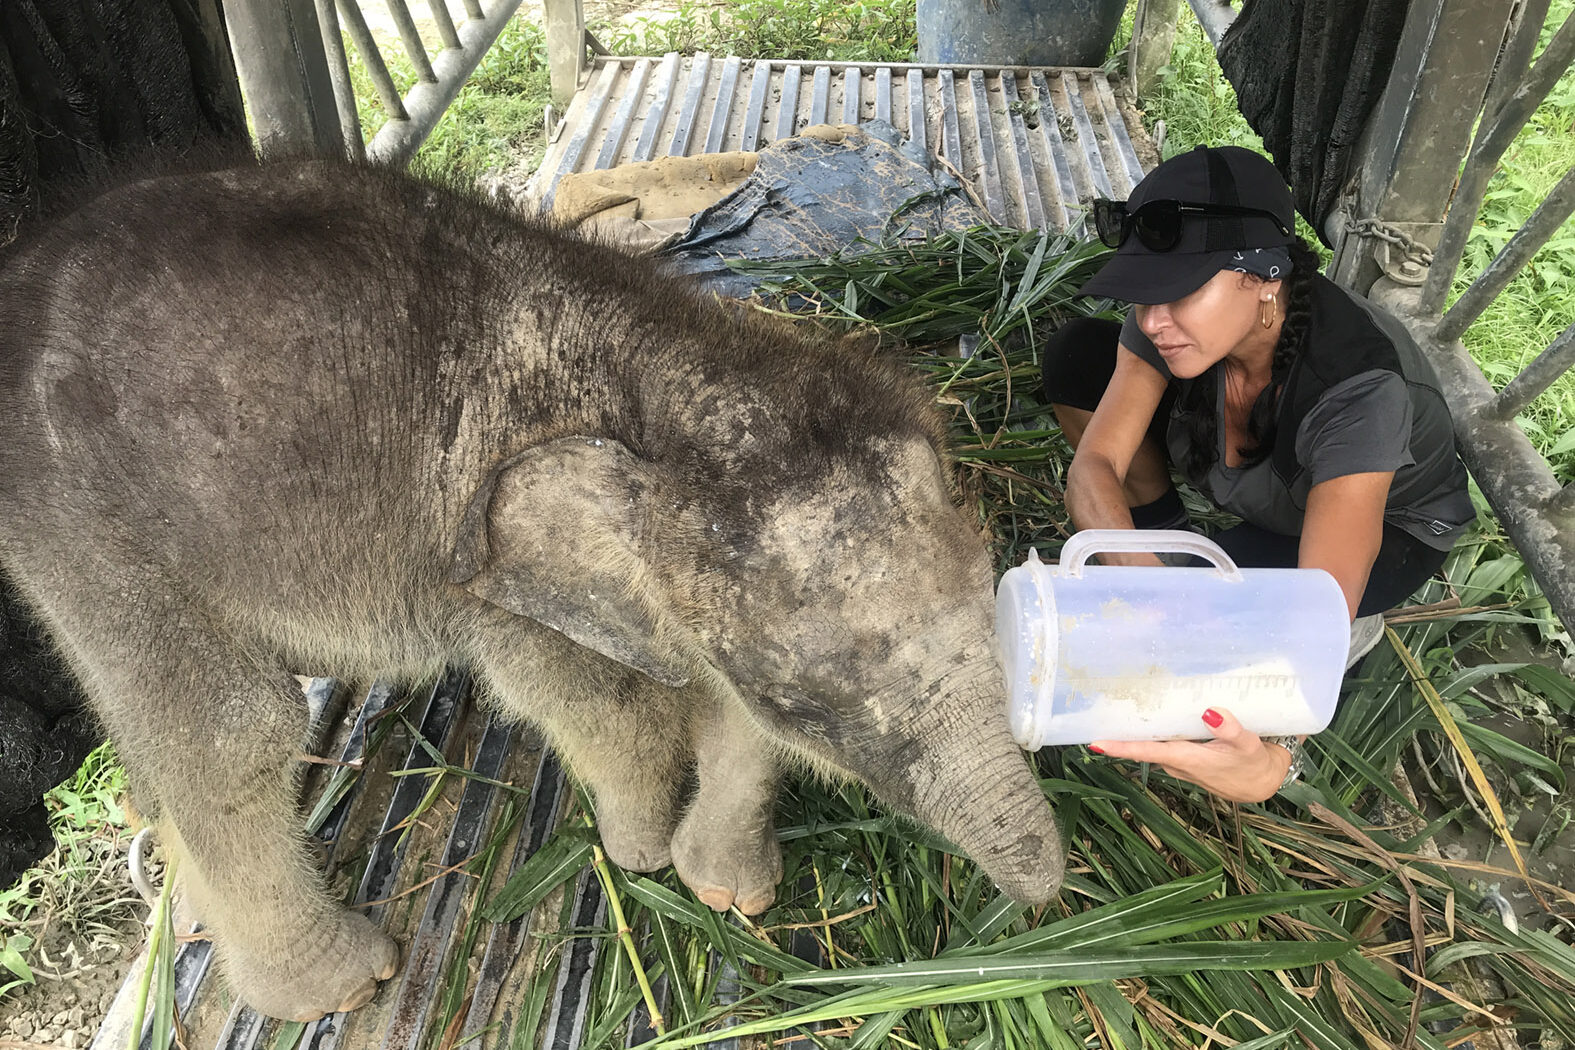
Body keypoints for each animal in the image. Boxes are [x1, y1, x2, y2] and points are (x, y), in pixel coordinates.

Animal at [0, 158, 1064, 1022]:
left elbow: (715, 711)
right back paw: (339, 986)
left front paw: (726, 892)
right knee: (230, 727)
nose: (1052, 898)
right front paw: (640, 854)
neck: (663, 368)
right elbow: (595, 700)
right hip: (82, 524)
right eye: (805, 704)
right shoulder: (488, 579)